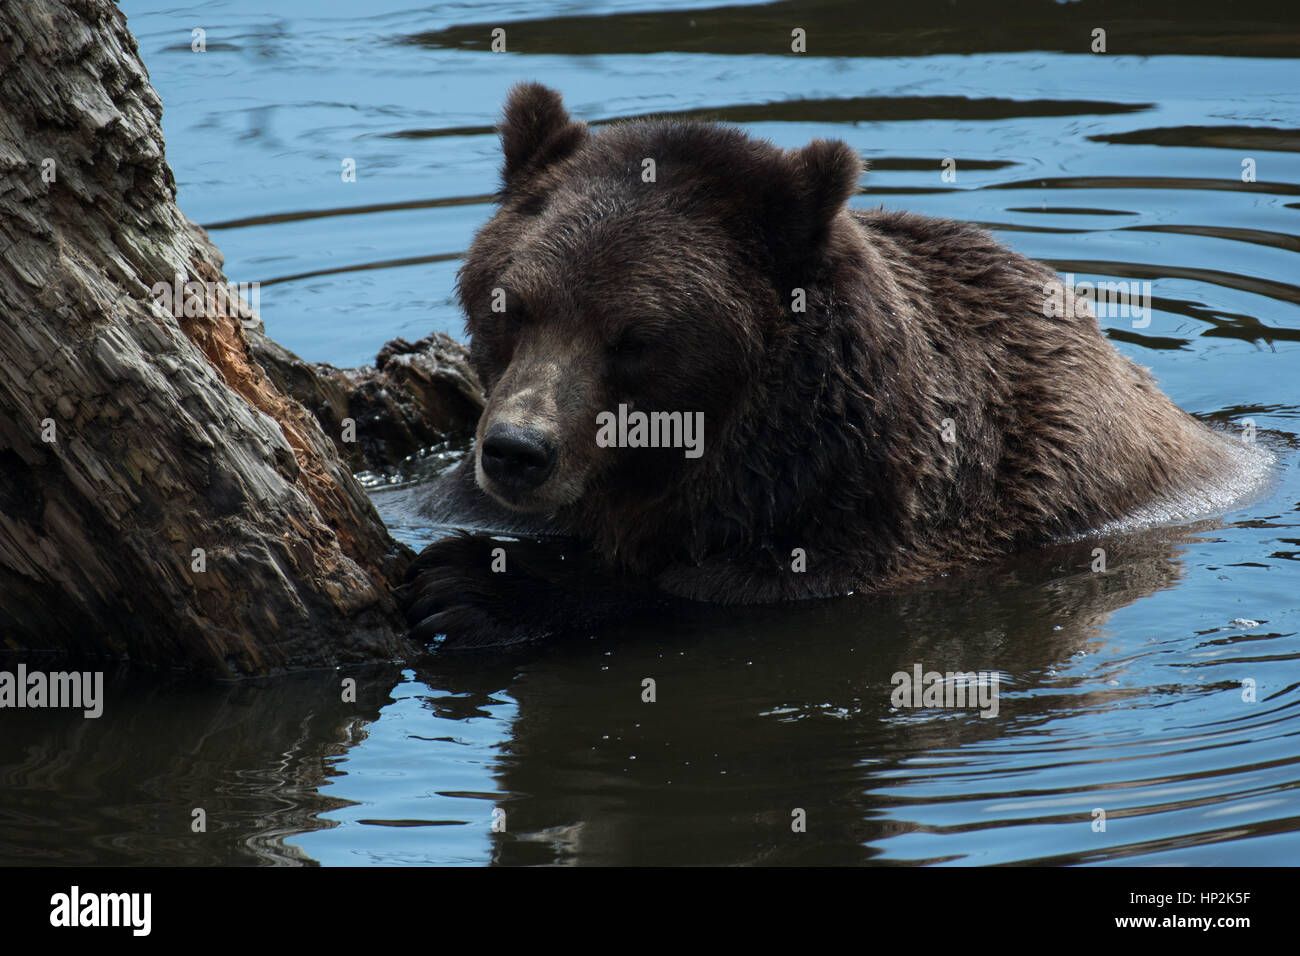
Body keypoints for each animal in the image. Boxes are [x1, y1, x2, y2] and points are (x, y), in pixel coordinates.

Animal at [397, 83, 1268, 650]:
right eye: (512, 307)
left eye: (634, 337)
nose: (517, 451)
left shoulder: (894, 526)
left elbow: (710, 591)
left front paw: (474, 585)